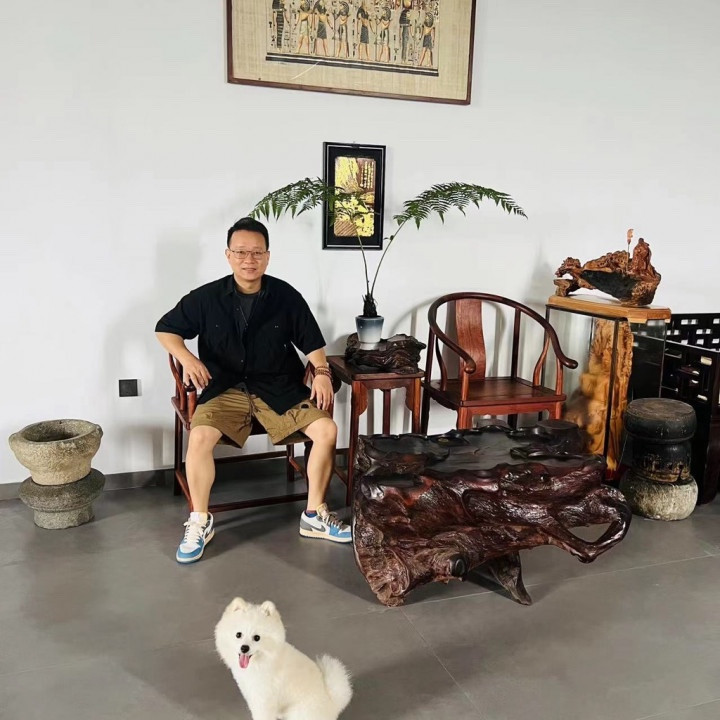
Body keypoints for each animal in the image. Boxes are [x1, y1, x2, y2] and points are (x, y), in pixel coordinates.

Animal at [215, 597, 353, 720]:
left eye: (257, 638)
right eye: (238, 634)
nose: (244, 648)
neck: (262, 661)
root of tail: (332, 705)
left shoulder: (264, 699)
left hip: (299, 711)